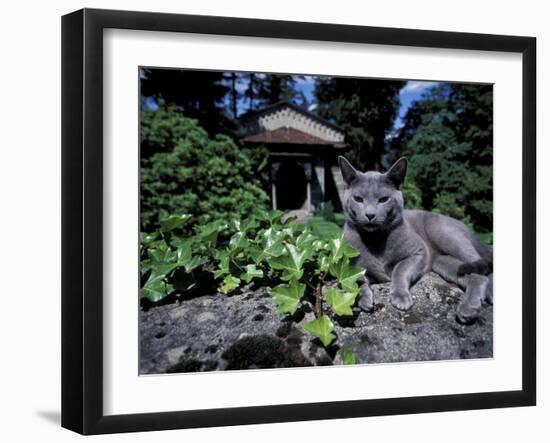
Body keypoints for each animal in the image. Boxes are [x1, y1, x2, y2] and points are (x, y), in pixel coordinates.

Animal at [340, 157, 496, 326]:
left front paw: (400, 297)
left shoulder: (418, 253)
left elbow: (400, 269)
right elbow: (355, 281)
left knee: (482, 271)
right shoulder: (351, 267)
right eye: (358, 199)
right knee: (474, 275)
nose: (370, 215)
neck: (375, 240)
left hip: (447, 236)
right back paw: (471, 310)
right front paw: (364, 299)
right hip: (443, 262)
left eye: (383, 199)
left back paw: (474, 305)